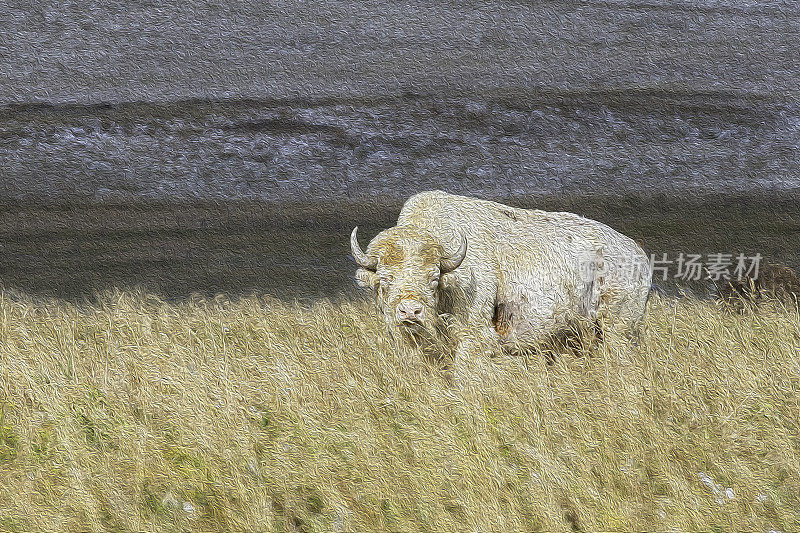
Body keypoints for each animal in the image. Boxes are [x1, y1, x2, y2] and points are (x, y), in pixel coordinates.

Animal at [350, 192, 648, 366]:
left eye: (433, 278)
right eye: (385, 278)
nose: (410, 311)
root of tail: (639, 254)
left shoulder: (474, 337)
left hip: (617, 330)